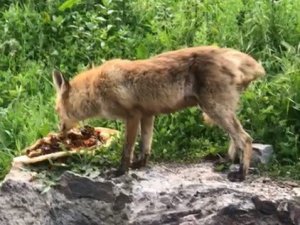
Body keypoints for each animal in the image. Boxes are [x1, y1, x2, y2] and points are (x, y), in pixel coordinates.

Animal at [52, 45, 266, 181]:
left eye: (57, 110)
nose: (59, 131)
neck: (97, 88)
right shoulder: (148, 115)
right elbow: (145, 146)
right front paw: (140, 165)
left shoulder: (132, 116)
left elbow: (127, 150)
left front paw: (121, 172)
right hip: (218, 111)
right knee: (235, 139)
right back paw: (228, 162)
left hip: (214, 109)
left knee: (245, 139)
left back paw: (241, 174)